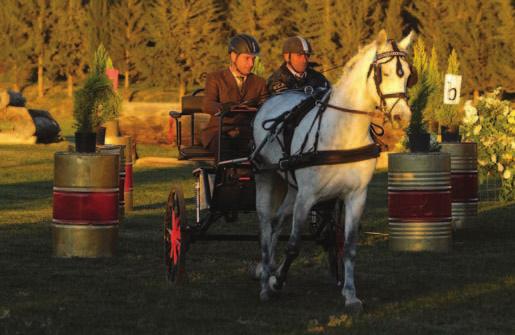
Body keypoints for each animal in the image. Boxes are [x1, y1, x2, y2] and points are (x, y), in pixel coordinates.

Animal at [252, 30, 418, 314]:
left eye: (408, 74)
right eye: (383, 73)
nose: (402, 116)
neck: (343, 133)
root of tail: (271, 101)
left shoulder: (355, 196)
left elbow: (349, 247)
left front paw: (350, 295)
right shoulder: (306, 197)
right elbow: (294, 245)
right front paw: (276, 282)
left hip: (291, 189)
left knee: (276, 222)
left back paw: (269, 269)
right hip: (267, 177)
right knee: (266, 223)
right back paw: (265, 281)